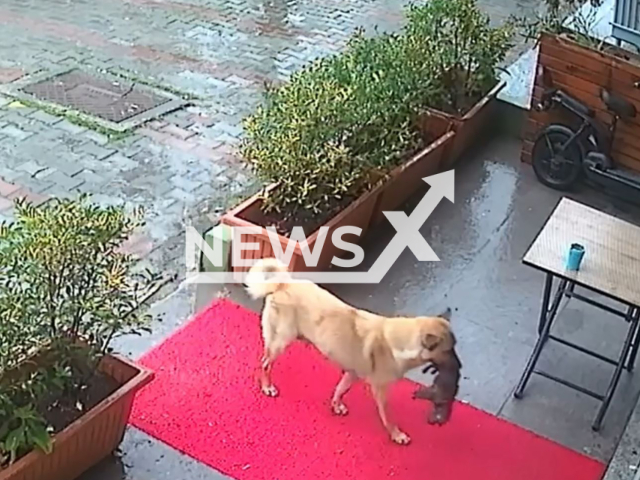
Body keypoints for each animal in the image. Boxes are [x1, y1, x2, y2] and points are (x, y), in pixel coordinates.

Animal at [242, 256, 458, 444]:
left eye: (454, 348)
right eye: (448, 350)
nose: (458, 366)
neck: (398, 341)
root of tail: (283, 284)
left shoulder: (351, 373)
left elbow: (340, 389)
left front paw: (336, 405)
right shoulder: (381, 391)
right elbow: (388, 416)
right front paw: (396, 434)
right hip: (281, 341)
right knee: (265, 363)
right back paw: (267, 386)